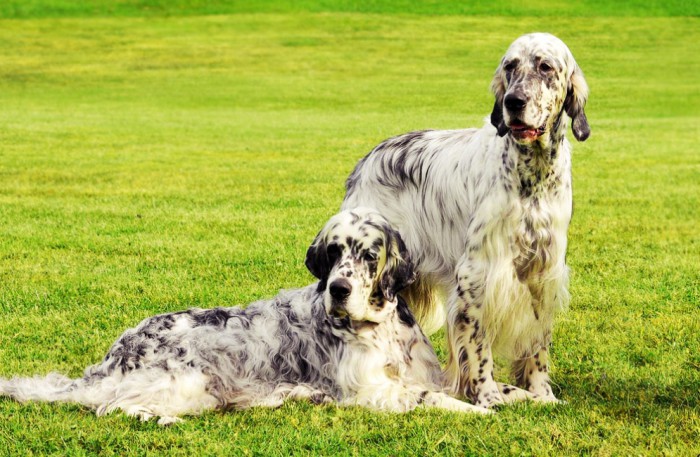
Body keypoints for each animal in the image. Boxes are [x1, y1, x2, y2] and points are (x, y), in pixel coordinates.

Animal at [0, 209, 490, 424]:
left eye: (369, 255)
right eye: (334, 252)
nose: (339, 289)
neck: (381, 331)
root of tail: (114, 354)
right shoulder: (370, 391)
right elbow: (429, 398)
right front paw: (476, 411)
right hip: (191, 382)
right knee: (110, 406)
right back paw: (162, 419)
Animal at [342, 33, 588, 408]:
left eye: (545, 66)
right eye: (510, 66)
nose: (514, 102)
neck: (532, 176)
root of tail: (367, 159)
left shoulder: (543, 273)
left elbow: (537, 346)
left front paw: (541, 393)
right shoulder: (476, 276)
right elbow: (477, 346)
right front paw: (487, 396)